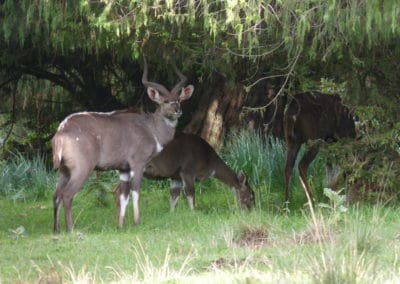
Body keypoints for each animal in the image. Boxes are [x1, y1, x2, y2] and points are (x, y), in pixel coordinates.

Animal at [50, 56, 195, 232]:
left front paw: (120, 226)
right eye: (165, 101)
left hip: (64, 171)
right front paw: (137, 222)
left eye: (179, 99)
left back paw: (56, 230)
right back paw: (71, 229)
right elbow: (135, 192)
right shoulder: (138, 163)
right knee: (67, 194)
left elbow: (123, 195)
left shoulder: (123, 169)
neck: (150, 128)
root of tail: (61, 130)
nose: (177, 110)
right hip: (82, 169)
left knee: (56, 195)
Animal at [114, 134, 255, 226]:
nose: (250, 210)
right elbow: (190, 193)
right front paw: (194, 213)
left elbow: (174, 196)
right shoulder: (187, 170)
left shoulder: (176, 176)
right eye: (251, 196)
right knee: (119, 190)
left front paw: (171, 215)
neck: (209, 161)